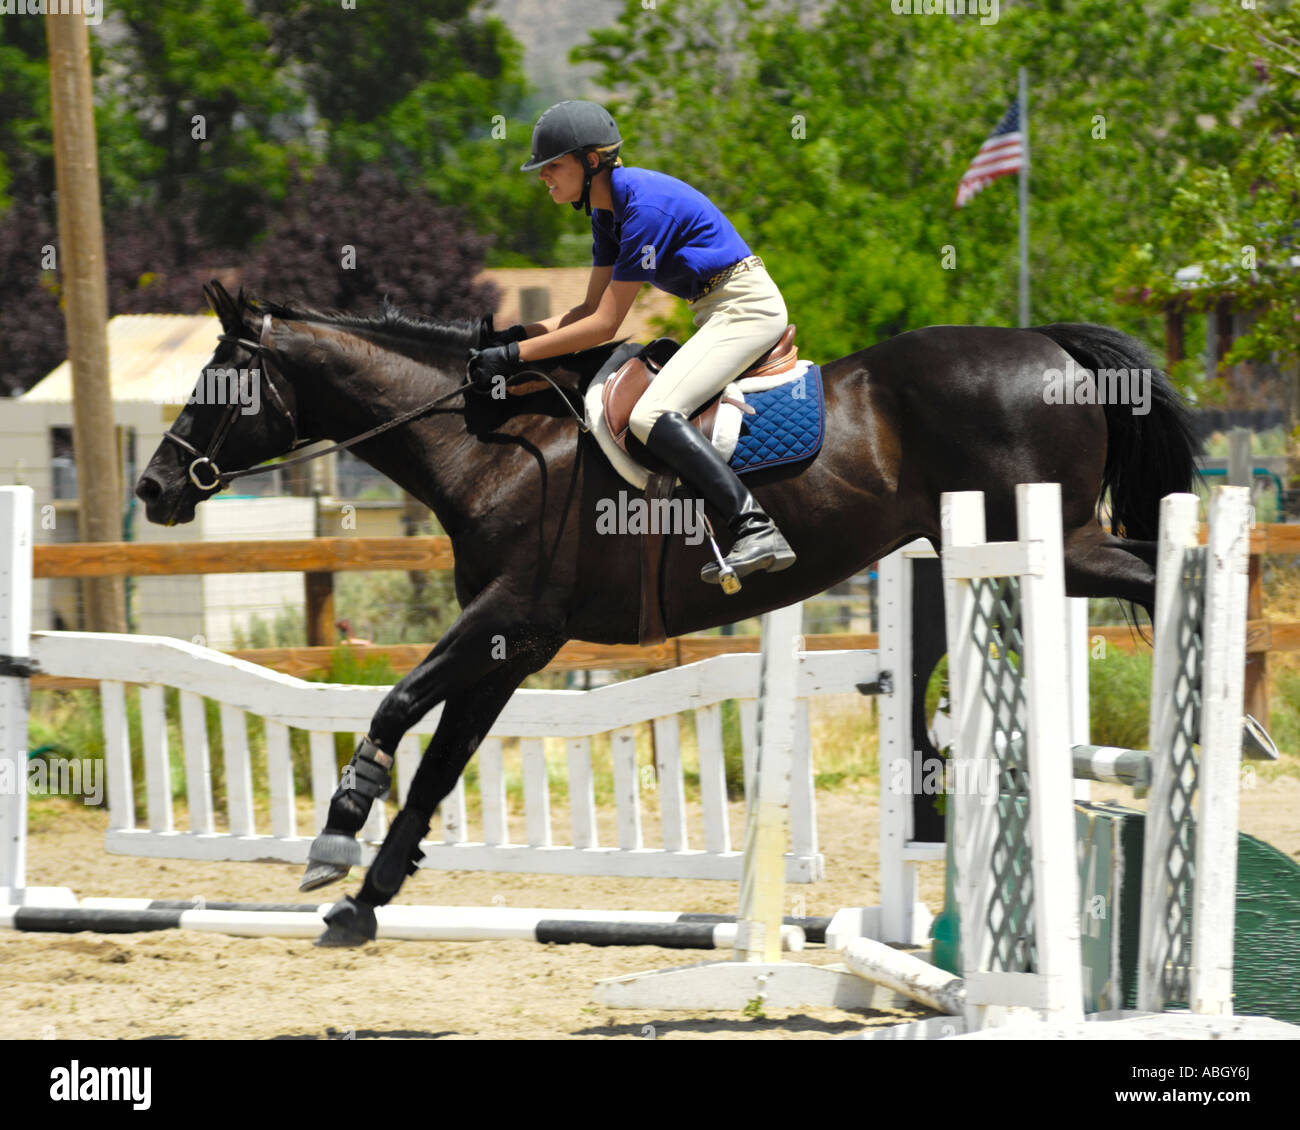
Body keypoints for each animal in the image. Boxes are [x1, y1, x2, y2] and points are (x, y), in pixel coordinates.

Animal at [134, 282, 1196, 941]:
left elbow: (398, 705)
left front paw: (335, 836)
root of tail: (1050, 345)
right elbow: (442, 760)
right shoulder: (517, 641)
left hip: (1054, 538)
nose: (154, 489)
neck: (490, 443)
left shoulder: (511, 613)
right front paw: (368, 897)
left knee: (1156, 568)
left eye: (217, 384)